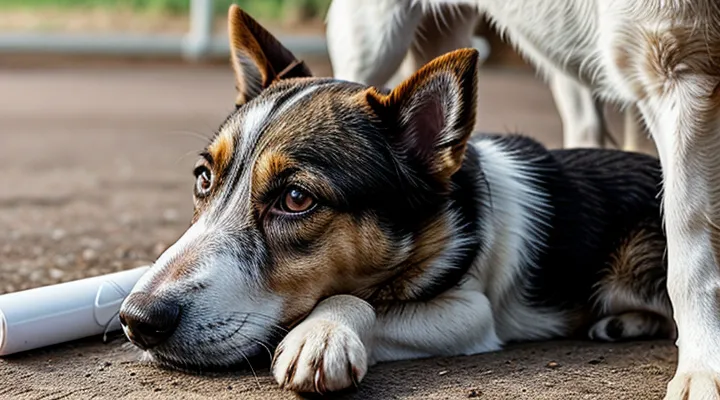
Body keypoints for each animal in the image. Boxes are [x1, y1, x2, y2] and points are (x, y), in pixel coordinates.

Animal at [118, 7, 676, 396]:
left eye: (296, 199)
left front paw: (322, 333)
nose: (137, 319)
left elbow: (359, 299)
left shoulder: (468, 312)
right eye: (204, 180)